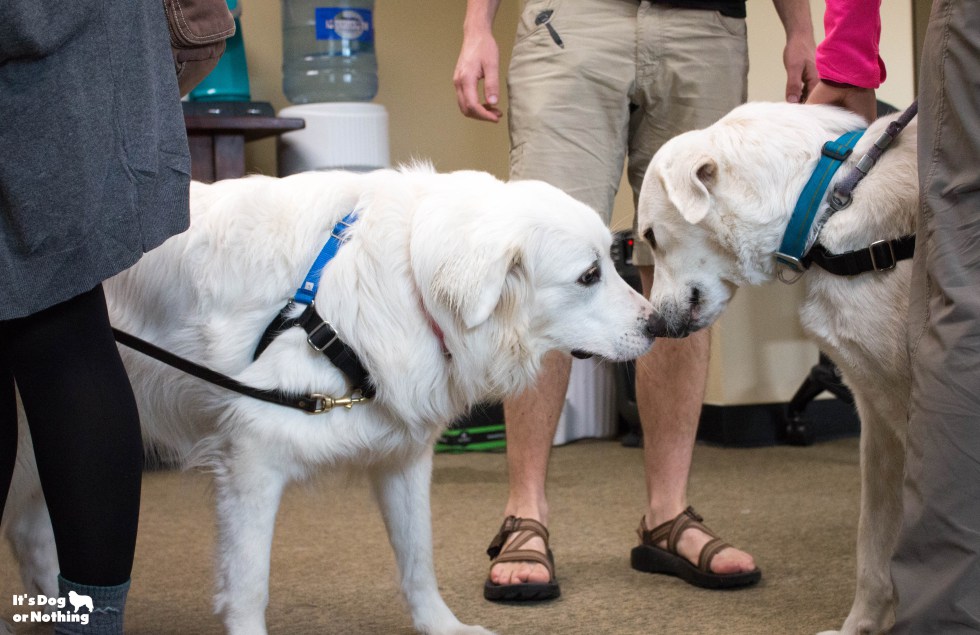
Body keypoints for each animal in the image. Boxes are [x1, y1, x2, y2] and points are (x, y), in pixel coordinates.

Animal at [5, 168, 660, 635]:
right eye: (588, 276)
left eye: (613, 261)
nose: (661, 325)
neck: (404, 279)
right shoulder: (253, 460)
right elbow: (248, 585)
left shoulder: (403, 460)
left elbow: (419, 562)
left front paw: (443, 628)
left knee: (31, 534)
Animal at [636, 100, 920, 635]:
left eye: (648, 235)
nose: (654, 325)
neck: (828, 201)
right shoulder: (878, 417)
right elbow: (873, 540)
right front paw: (861, 625)